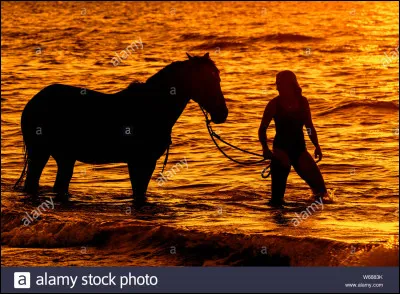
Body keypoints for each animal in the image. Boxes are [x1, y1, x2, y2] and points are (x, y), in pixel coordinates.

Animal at [16, 52, 228, 204]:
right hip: (40, 153)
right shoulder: (140, 162)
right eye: (206, 80)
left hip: (65, 157)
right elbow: (138, 192)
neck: (153, 107)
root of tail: (32, 102)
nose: (222, 113)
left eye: (217, 78)